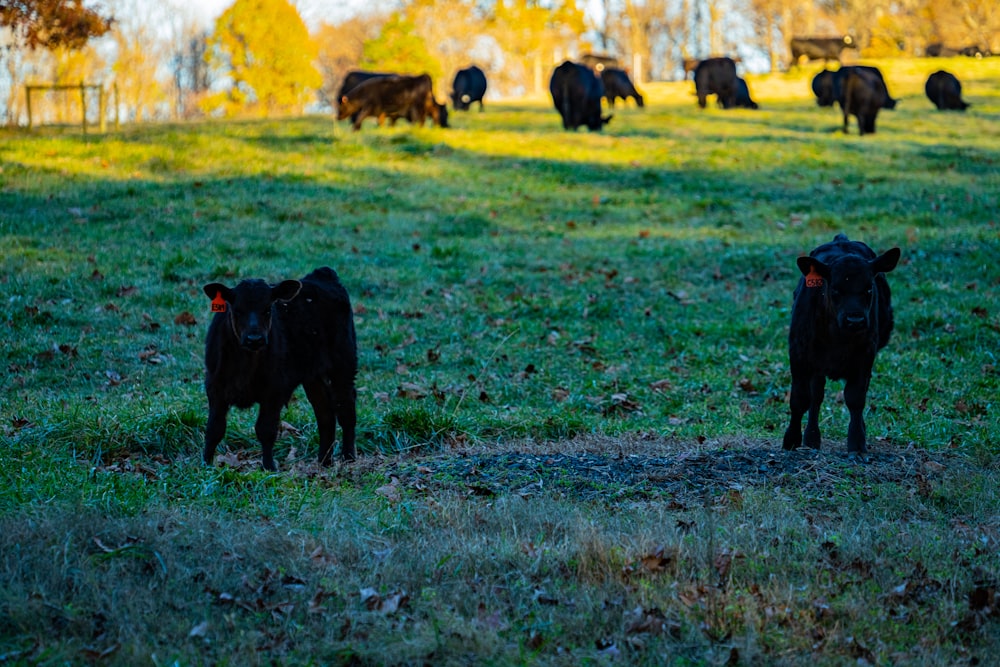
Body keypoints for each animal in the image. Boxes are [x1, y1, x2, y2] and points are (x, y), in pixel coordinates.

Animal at [203, 268, 360, 472]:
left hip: (344, 365)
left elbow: (266, 429)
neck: (246, 364)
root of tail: (323, 274)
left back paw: (348, 457)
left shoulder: (274, 390)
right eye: (237, 310)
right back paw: (323, 462)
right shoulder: (215, 387)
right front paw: (205, 464)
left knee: (345, 408)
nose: (255, 339)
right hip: (313, 376)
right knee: (325, 414)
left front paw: (269, 467)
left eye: (268, 309)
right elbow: (214, 429)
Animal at [784, 235, 904, 460]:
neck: (838, 339)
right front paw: (791, 440)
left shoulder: (866, 355)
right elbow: (799, 398)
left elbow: (855, 398)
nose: (855, 320)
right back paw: (811, 438)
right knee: (816, 396)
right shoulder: (799, 353)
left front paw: (857, 443)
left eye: (868, 289)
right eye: (835, 289)